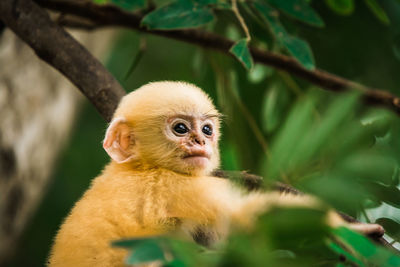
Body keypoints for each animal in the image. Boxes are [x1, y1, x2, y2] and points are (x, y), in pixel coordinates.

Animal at [49, 81, 384, 267]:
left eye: (207, 129)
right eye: (181, 128)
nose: (201, 141)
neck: (140, 166)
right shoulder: (175, 186)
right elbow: (245, 217)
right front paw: (350, 230)